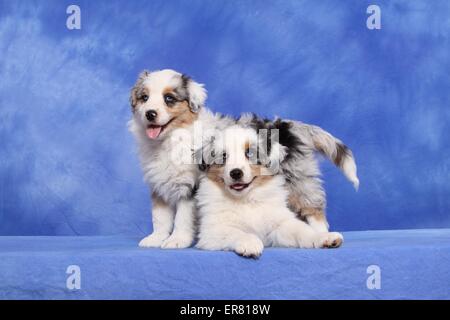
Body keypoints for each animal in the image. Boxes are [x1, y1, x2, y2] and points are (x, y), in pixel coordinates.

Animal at [126, 69, 232, 249]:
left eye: (169, 98)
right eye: (145, 98)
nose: (149, 114)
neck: (168, 141)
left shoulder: (190, 186)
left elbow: (182, 218)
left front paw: (177, 240)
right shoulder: (158, 184)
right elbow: (159, 217)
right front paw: (156, 238)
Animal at [195, 125, 342, 258]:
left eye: (249, 153)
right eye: (223, 156)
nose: (236, 173)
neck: (246, 199)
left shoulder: (279, 224)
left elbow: (302, 231)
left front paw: (324, 237)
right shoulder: (211, 231)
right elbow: (237, 232)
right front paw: (250, 243)